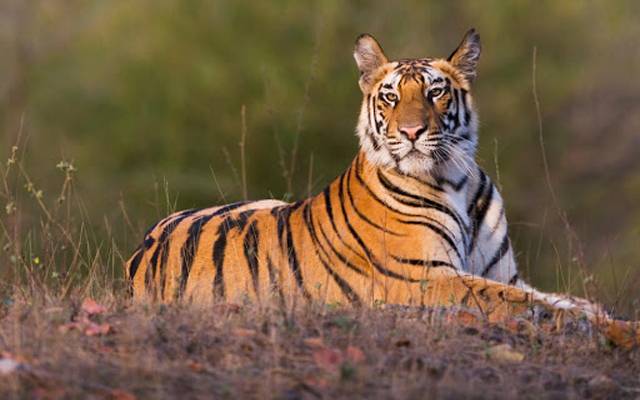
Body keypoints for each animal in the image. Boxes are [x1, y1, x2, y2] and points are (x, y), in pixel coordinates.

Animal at [124, 29, 639, 345]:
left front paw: (613, 320)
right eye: (390, 96)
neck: (456, 178)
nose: (411, 131)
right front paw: (619, 333)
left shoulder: (503, 273)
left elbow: (565, 299)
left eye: (435, 92)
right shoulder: (428, 277)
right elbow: (535, 305)